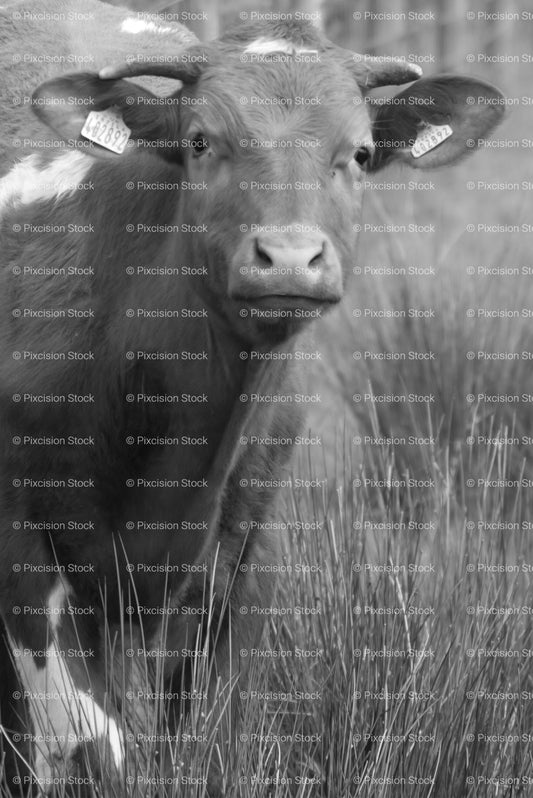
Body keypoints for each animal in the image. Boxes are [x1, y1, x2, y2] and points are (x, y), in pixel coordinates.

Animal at [0, 0, 504, 793]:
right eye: (200, 140)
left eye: (361, 153)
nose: (289, 257)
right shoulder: (22, 547)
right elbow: (86, 746)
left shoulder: (245, 547)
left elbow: (210, 740)